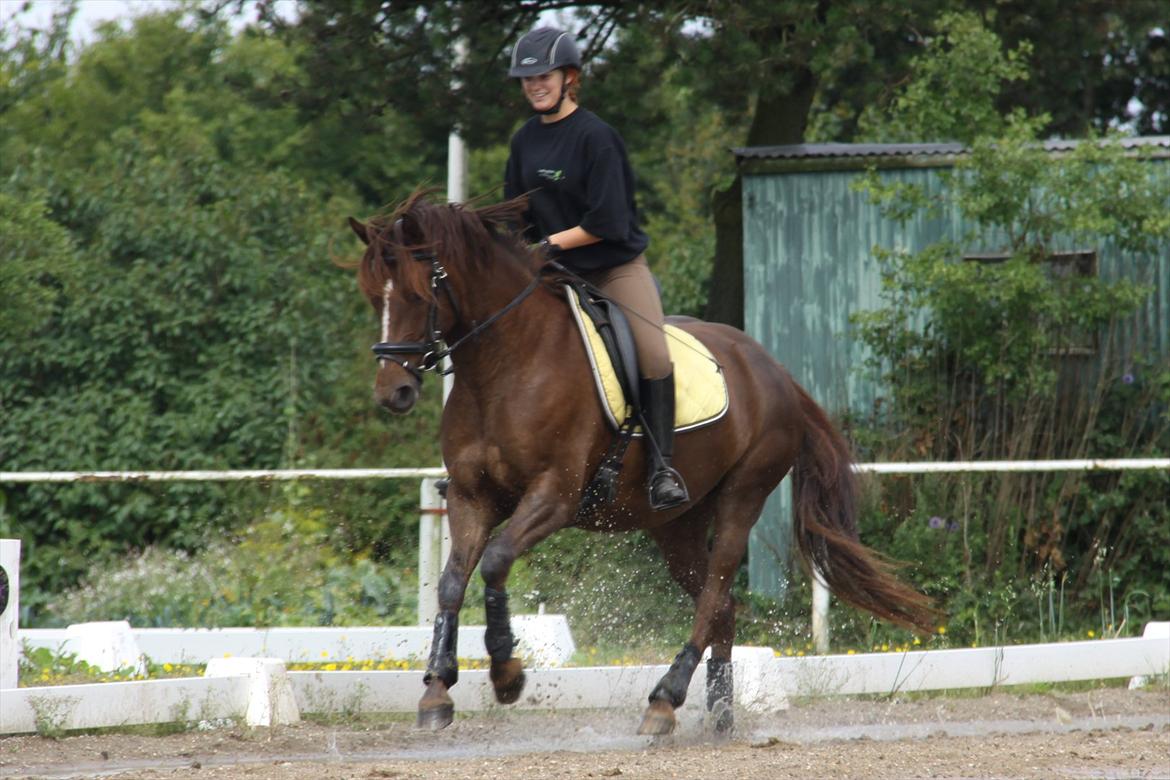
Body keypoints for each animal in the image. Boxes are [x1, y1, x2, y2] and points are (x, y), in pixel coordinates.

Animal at [343, 190, 931, 739]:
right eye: (374, 296)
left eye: (419, 293)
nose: (393, 392)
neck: (504, 366)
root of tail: (776, 369)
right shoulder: (472, 495)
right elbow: (451, 582)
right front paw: (436, 691)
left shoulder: (553, 496)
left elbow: (495, 561)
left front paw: (507, 673)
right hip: (677, 525)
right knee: (721, 606)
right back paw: (718, 713)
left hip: (743, 496)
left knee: (715, 593)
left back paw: (665, 699)